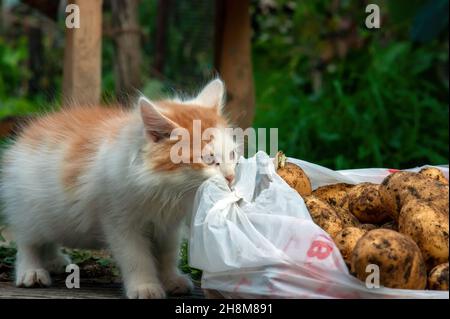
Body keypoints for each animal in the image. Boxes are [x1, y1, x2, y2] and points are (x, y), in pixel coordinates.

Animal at [0, 79, 239, 298]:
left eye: (232, 154)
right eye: (208, 160)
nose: (230, 177)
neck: (166, 189)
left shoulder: (169, 225)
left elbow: (167, 254)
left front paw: (171, 280)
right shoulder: (120, 221)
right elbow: (136, 257)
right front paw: (145, 287)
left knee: (48, 237)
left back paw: (54, 261)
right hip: (28, 209)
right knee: (29, 242)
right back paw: (31, 272)